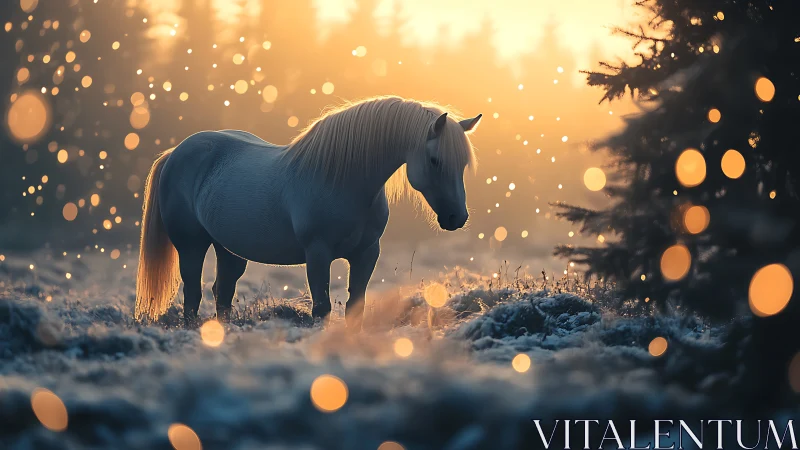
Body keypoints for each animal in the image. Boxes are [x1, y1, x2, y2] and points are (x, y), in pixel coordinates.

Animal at [134, 95, 481, 329]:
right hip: (191, 246)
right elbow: (322, 307)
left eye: (463, 164)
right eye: (435, 160)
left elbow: (355, 305)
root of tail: (176, 152)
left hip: (229, 249)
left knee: (223, 292)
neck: (343, 180)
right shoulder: (318, 254)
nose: (457, 217)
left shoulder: (367, 253)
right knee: (193, 295)